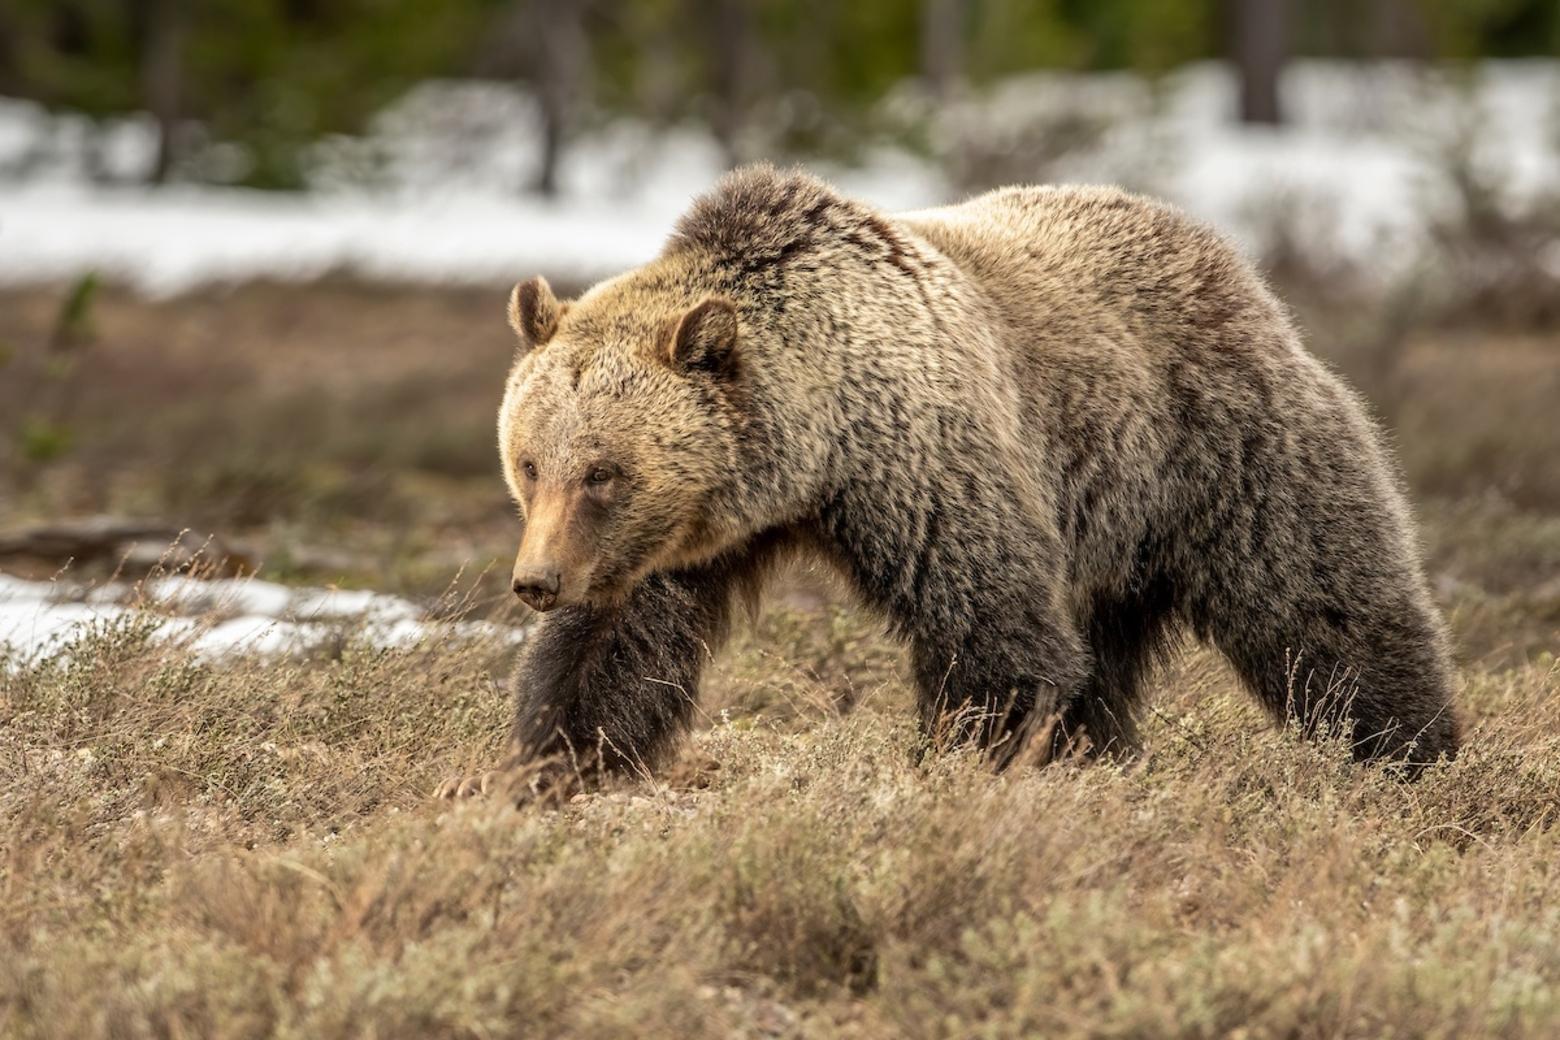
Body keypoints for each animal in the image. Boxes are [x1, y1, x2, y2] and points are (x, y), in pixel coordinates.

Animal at [436, 164, 1447, 798]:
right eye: (530, 463)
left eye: (603, 471)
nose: (535, 581)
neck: (814, 447)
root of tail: (1230, 258)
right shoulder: (678, 543)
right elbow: (613, 653)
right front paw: (547, 764)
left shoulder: (924, 459)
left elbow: (994, 634)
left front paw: (959, 766)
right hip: (1107, 527)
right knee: (1107, 650)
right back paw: (1098, 755)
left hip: (1221, 443)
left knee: (1324, 605)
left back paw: (1409, 753)